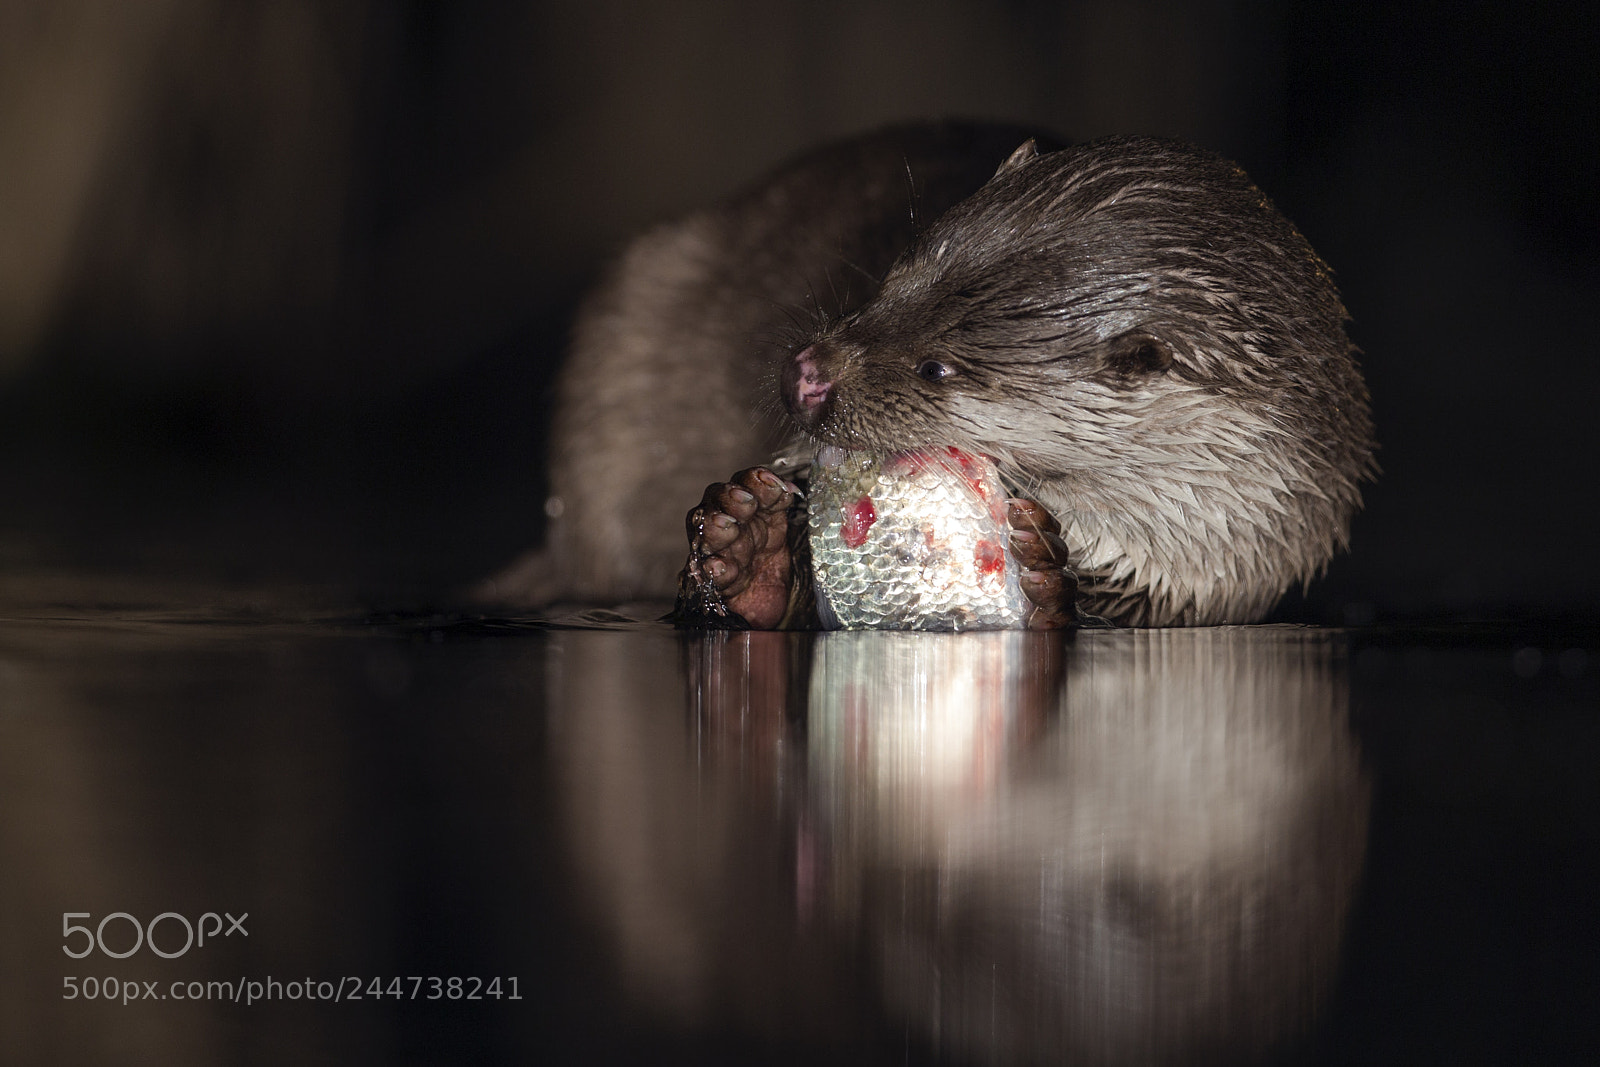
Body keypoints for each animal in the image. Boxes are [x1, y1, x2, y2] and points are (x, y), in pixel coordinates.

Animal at [484, 127, 1377, 628]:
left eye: (938, 367)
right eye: (890, 283)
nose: (808, 376)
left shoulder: (1233, 562)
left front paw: (1050, 585)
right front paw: (749, 551)